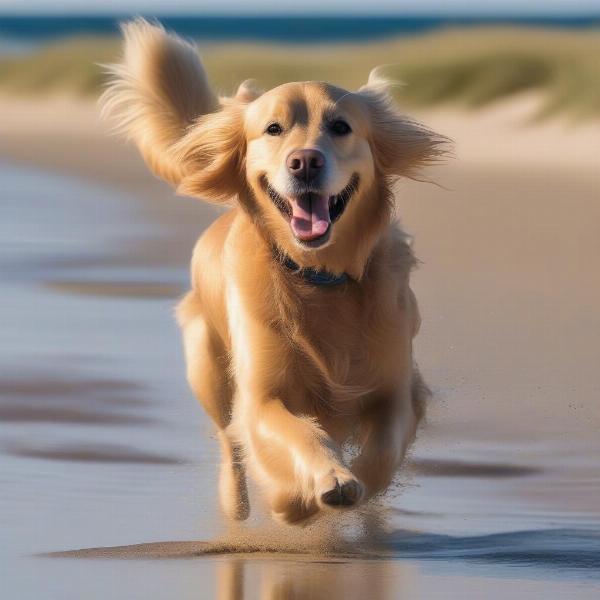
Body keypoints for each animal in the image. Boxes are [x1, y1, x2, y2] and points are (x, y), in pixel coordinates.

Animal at [103, 21, 448, 524]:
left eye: (341, 127)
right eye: (272, 129)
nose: (304, 161)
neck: (319, 275)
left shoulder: (396, 387)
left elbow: (383, 450)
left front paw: (356, 486)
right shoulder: (263, 394)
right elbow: (294, 433)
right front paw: (304, 496)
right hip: (208, 368)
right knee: (229, 441)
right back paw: (238, 507)